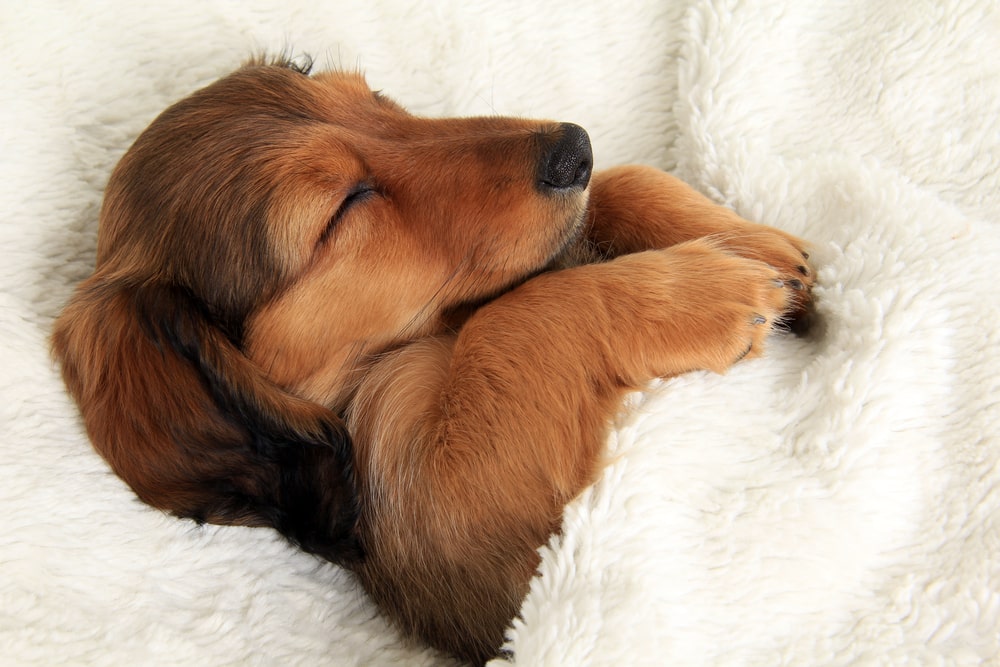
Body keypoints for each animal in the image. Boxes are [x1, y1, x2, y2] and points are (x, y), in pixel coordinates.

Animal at [52, 58, 812, 667]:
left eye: (369, 96)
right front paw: (706, 290)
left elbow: (621, 186)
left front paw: (751, 242)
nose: (575, 148)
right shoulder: (460, 527)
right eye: (341, 209)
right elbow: (512, 317)